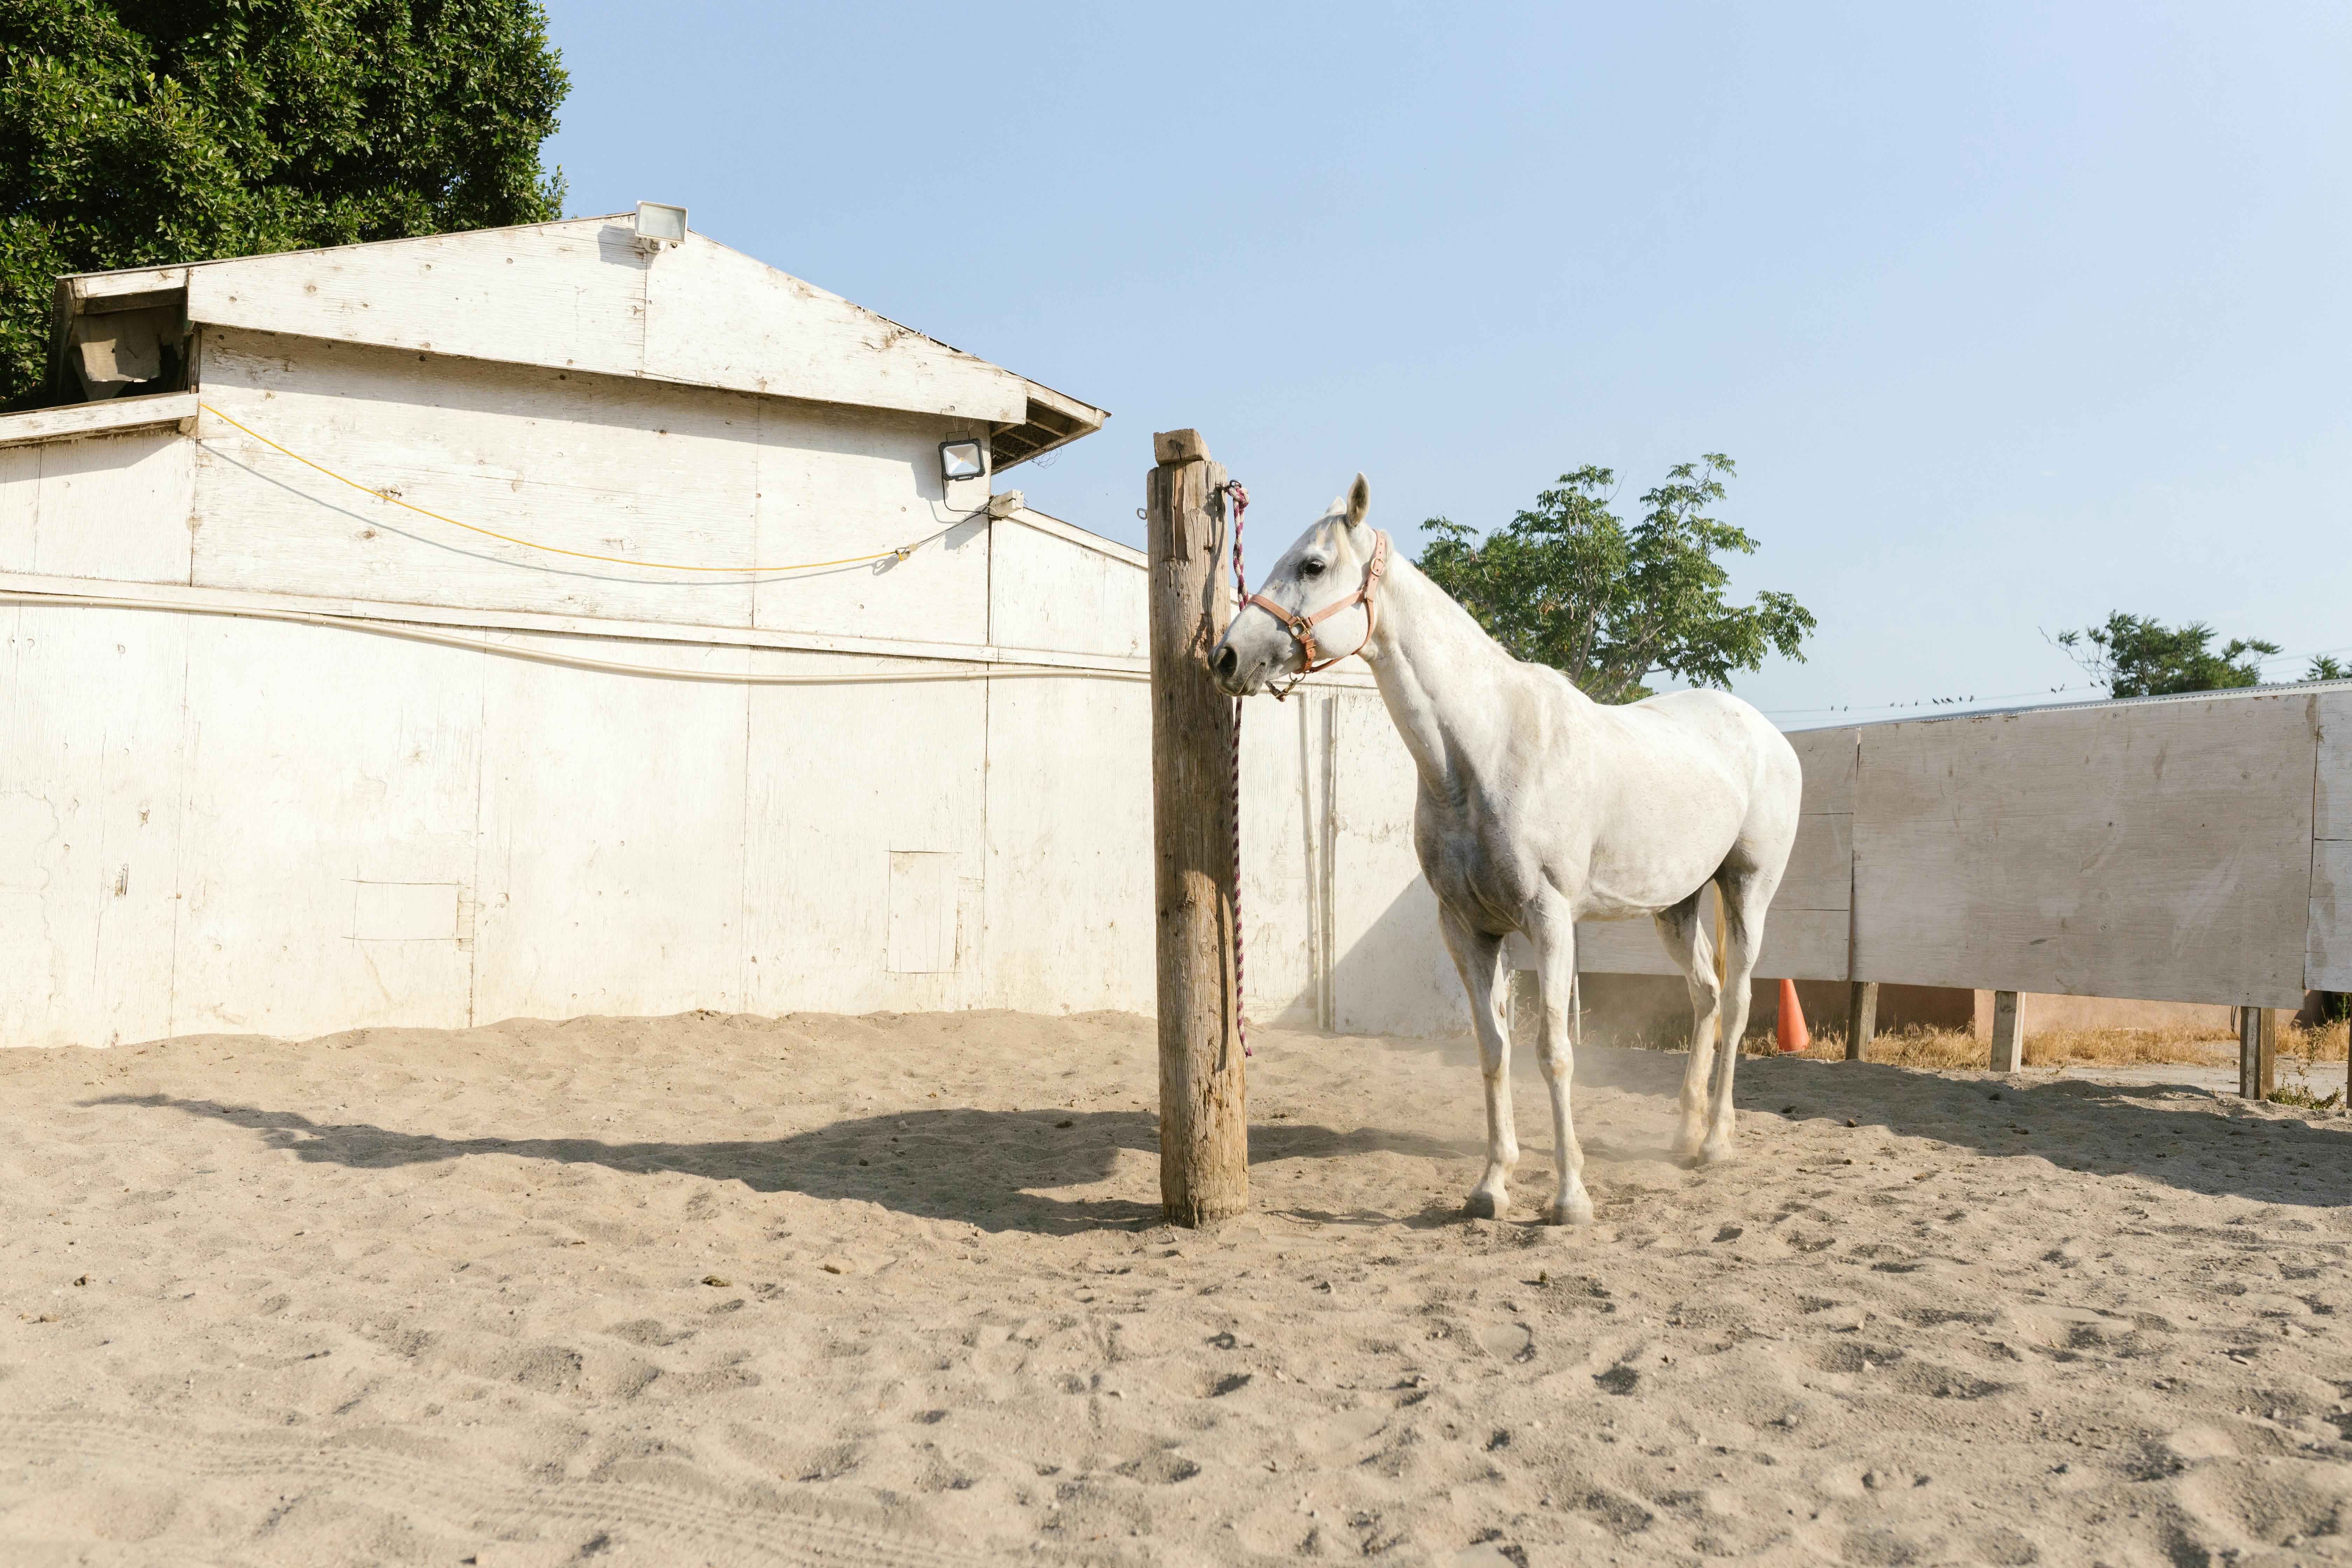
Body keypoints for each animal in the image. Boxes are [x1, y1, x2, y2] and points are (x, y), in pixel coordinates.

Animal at [1209, 475, 1801, 1225]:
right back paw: (1682, 1133)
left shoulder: (1549, 921)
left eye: (1313, 566)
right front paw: (1492, 1185)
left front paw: (1570, 1197)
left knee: (1740, 1000)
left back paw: (1717, 1143)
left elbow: (1554, 1051)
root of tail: (1767, 733)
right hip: (1677, 905)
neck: (1482, 752)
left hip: (1748, 889)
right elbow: (1493, 1049)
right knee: (1706, 994)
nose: (1226, 657)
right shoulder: (1467, 928)